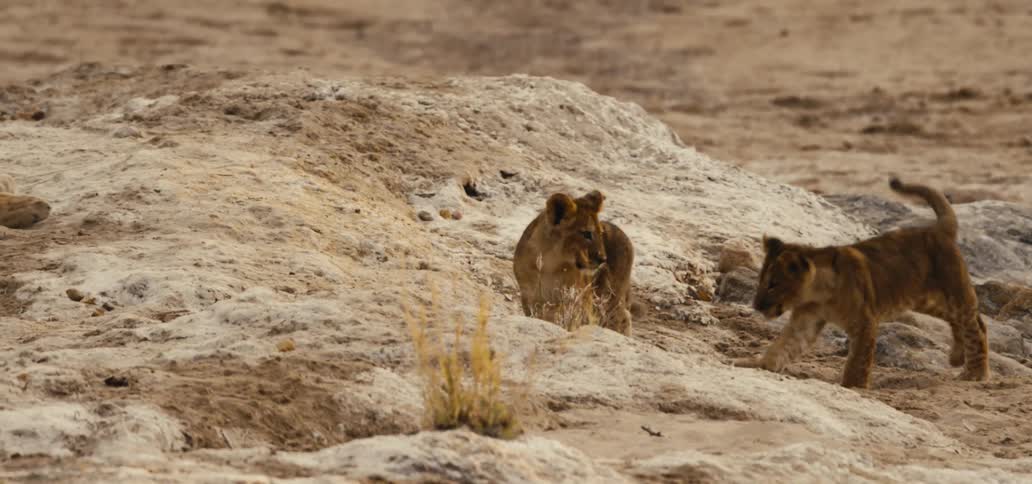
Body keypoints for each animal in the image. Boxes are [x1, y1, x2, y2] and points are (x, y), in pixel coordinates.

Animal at [513, 190, 635, 335]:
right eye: (587, 234)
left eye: (600, 233)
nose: (603, 259)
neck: (550, 262)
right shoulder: (529, 295)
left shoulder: (576, 298)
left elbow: (566, 317)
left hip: (611, 296)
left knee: (622, 317)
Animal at [736, 178, 989, 388]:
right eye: (761, 281)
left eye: (773, 284)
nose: (756, 306)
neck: (818, 294)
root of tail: (938, 230)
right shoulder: (806, 320)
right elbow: (782, 347)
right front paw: (754, 364)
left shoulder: (865, 322)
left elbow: (857, 362)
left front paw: (852, 387)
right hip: (926, 300)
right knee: (967, 321)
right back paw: (957, 357)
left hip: (954, 294)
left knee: (975, 327)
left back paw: (974, 374)